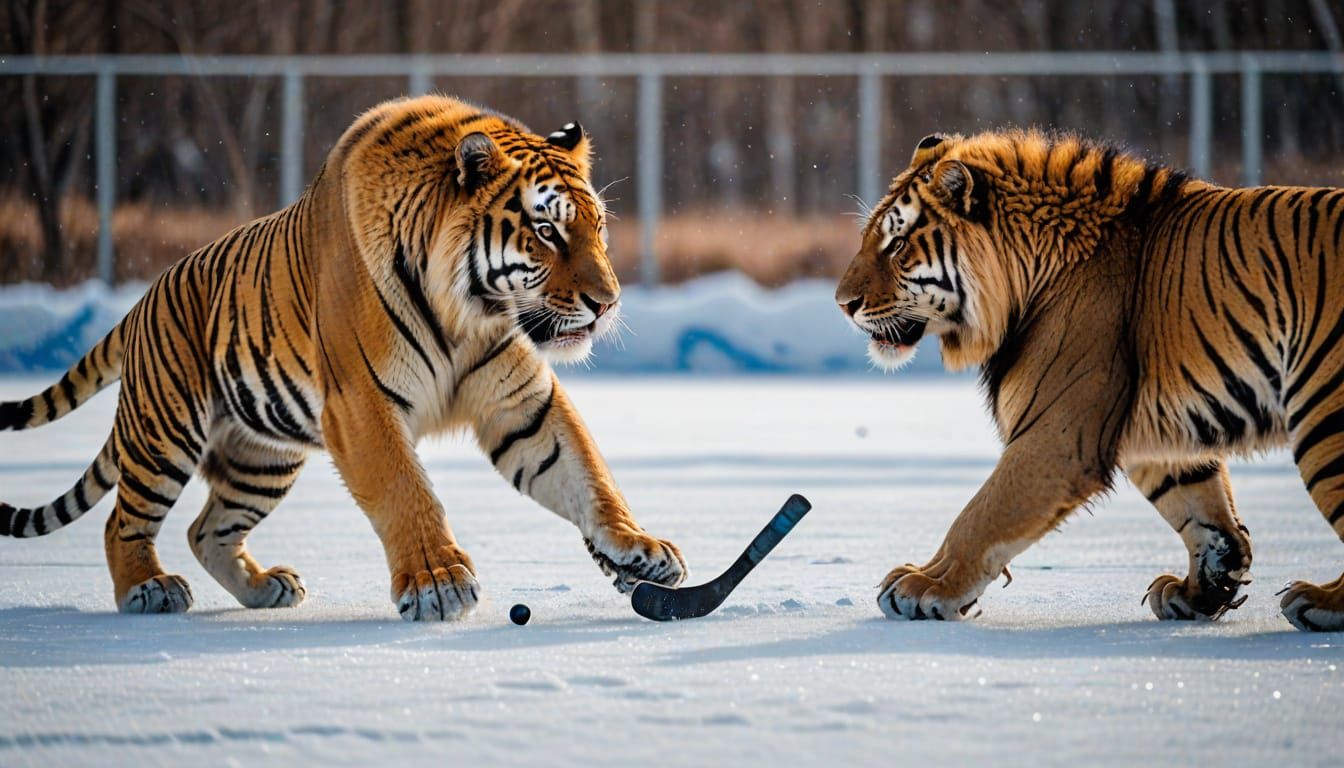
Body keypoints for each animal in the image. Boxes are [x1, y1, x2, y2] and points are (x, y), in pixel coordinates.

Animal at [0, 94, 686, 620]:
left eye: (598, 227)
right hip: (164, 430)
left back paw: (266, 589)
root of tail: (141, 302)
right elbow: (406, 490)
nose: (608, 302)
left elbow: (587, 472)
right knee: (124, 521)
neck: (472, 312)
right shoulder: (362, 404)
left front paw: (637, 548)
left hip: (262, 456)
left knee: (206, 529)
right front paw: (438, 583)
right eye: (546, 231)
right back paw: (148, 588)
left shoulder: (521, 404)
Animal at [836, 128, 1344, 631]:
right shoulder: (1161, 434)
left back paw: (1319, 600)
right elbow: (1205, 513)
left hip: (1322, 415)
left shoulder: (1058, 436)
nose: (843, 303)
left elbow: (980, 516)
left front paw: (927, 587)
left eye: (897, 245)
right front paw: (1199, 591)